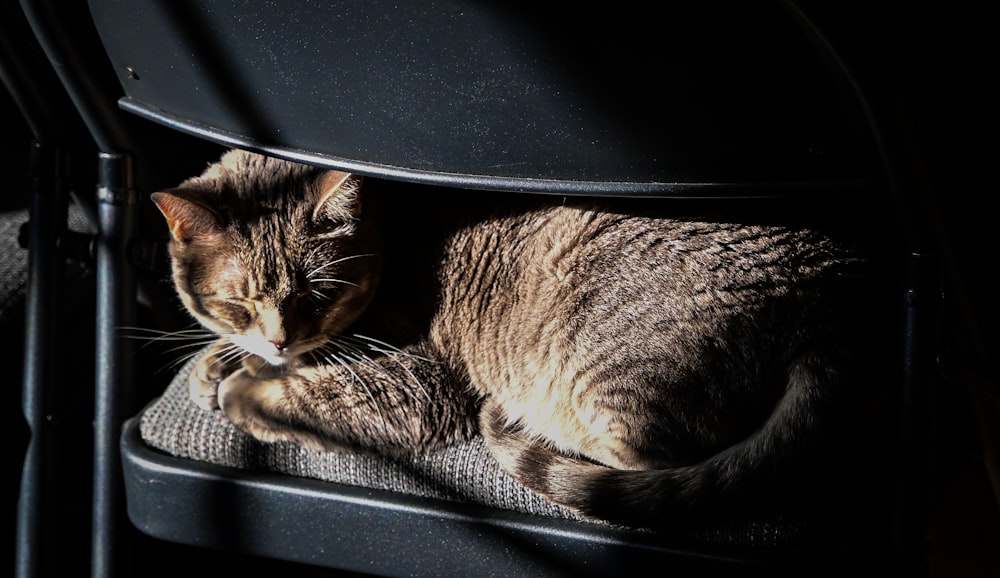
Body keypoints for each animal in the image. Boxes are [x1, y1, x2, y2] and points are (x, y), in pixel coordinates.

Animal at [152, 148, 888, 528]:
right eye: (238, 301)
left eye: (316, 293)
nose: (279, 342)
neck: (390, 229)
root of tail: (837, 291)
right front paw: (220, 361)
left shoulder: (417, 385)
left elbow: (299, 392)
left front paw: (245, 383)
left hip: (601, 384)